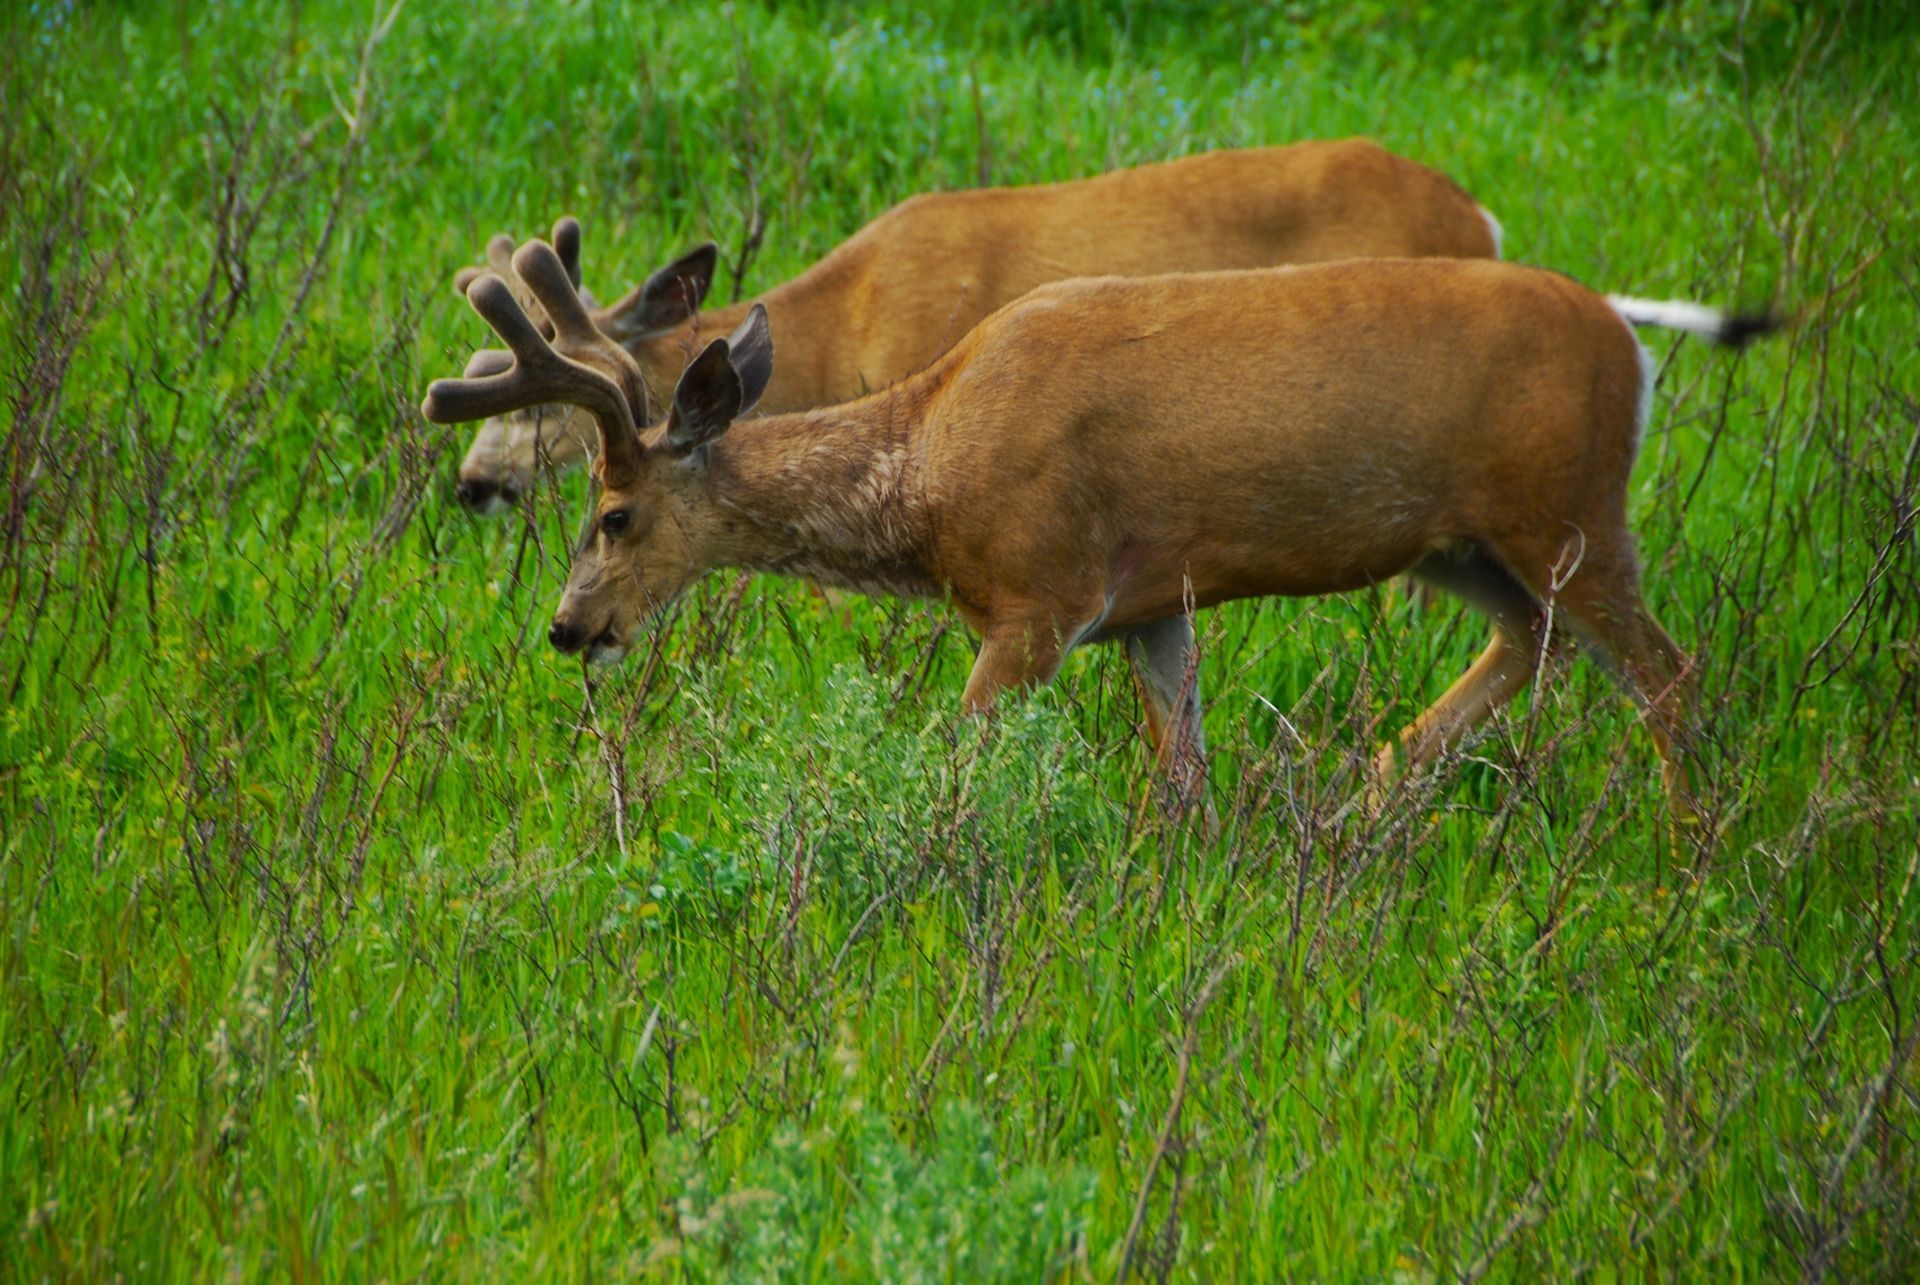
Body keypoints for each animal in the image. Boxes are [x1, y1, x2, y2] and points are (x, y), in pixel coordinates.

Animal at [424, 237, 1776, 818]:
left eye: (614, 513)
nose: (567, 627)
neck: (927, 471)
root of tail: (1629, 340)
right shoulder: (1148, 610)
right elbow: (1182, 773)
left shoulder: (1040, 593)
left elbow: (957, 755)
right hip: (1470, 545)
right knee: (1535, 646)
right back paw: (1370, 784)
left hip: (1568, 511)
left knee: (1670, 673)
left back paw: (1693, 848)